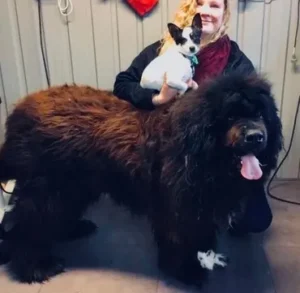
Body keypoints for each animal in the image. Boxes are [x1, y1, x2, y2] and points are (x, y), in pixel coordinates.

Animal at [0, 71, 282, 286]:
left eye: (260, 115)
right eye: (231, 116)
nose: (256, 137)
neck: (200, 149)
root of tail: (19, 111)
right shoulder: (178, 210)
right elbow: (179, 241)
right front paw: (186, 271)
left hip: (74, 186)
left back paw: (72, 229)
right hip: (48, 188)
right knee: (25, 224)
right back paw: (34, 266)